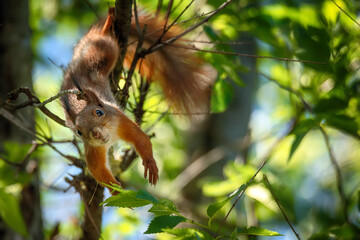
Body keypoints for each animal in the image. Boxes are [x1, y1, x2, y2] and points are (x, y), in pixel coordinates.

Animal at [60, 7, 212, 194]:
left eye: (99, 112)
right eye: (79, 132)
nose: (95, 133)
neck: (110, 136)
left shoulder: (120, 120)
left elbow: (140, 138)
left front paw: (150, 163)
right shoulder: (93, 149)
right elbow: (98, 171)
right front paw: (117, 192)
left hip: (102, 54)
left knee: (106, 42)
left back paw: (108, 22)